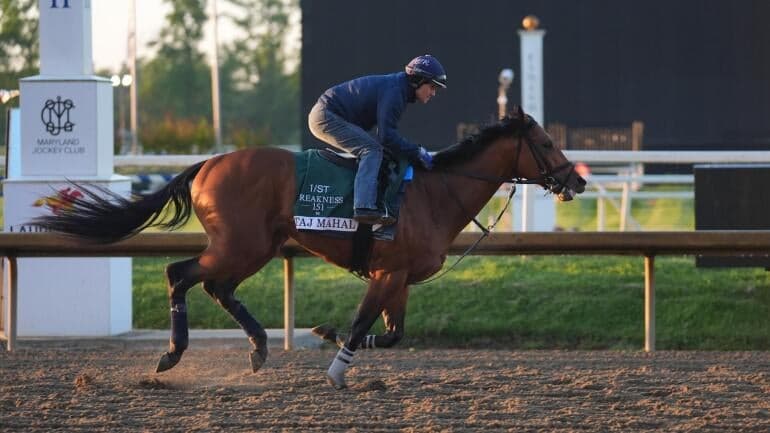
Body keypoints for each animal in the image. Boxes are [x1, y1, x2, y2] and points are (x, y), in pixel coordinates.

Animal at [30, 106, 586, 389]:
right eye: (546, 143)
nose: (576, 180)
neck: (436, 191)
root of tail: (208, 164)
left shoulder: (400, 278)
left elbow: (392, 335)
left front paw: (325, 331)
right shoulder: (388, 274)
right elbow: (363, 324)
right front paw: (337, 368)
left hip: (256, 247)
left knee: (217, 287)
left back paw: (258, 347)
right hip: (240, 245)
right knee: (181, 275)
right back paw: (171, 354)